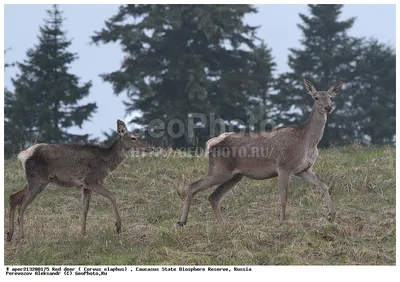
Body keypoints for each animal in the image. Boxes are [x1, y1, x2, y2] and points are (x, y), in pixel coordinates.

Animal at [6, 120, 153, 241]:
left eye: (139, 136)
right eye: (133, 138)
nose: (150, 147)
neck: (106, 162)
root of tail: (22, 156)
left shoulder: (85, 186)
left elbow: (84, 208)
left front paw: (82, 233)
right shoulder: (92, 180)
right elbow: (112, 195)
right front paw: (118, 226)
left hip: (32, 180)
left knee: (14, 196)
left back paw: (9, 234)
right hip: (38, 179)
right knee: (22, 204)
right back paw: (21, 236)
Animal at [179, 79, 344, 227]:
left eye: (331, 97)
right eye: (316, 97)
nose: (328, 107)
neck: (307, 142)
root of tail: (212, 143)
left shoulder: (303, 169)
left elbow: (324, 185)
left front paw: (332, 215)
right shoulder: (284, 166)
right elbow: (283, 197)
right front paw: (282, 221)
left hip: (235, 175)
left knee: (213, 196)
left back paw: (223, 225)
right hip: (219, 170)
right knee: (193, 185)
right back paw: (182, 221)